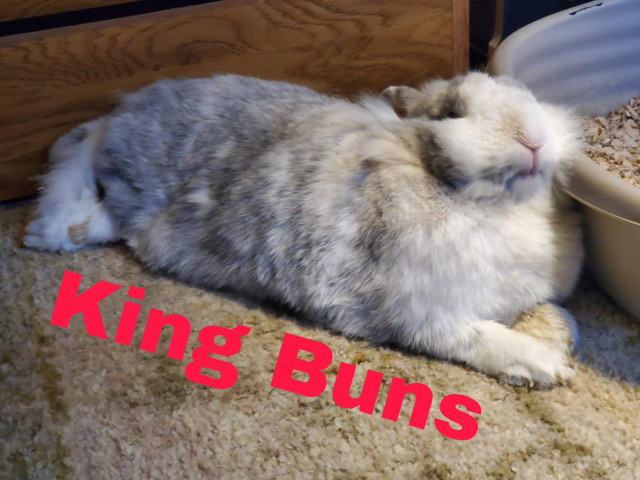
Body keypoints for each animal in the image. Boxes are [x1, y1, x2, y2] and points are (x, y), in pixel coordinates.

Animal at [24, 72, 584, 388]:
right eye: (452, 113)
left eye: (524, 93)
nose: (533, 139)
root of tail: (123, 113)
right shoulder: (422, 313)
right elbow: (476, 336)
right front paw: (546, 366)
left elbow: (545, 312)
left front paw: (563, 334)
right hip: (131, 180)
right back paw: (45, 233)